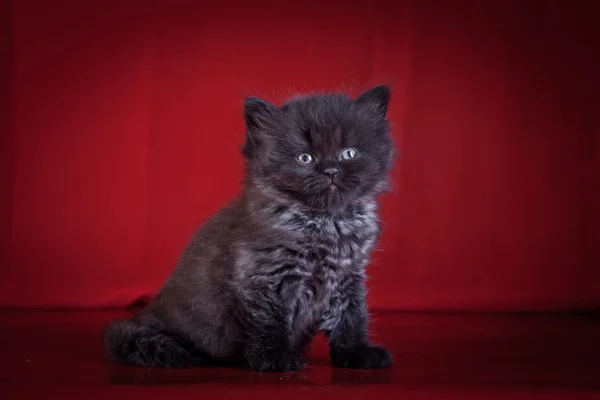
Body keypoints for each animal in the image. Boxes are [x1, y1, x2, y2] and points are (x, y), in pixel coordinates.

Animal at [106, 85, 398, 372]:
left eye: (348, 153)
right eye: (305, 158)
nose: (330, 170)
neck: (326, 223)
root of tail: (146, 315)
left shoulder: (347, 276)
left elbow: (350, 317)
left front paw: (357, 352)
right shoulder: (265, 275)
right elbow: (270, 321)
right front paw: (275, 358)